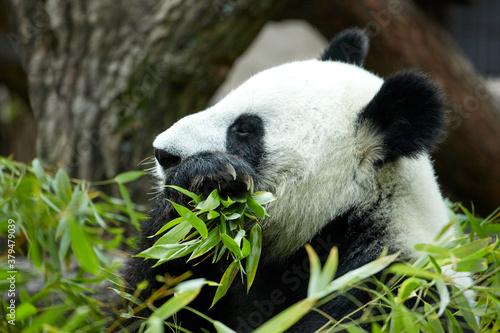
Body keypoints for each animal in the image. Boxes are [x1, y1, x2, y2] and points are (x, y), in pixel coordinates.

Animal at [119, 29, 456, 330]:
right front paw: (202, 187)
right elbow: (159, 304)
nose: (163, 152)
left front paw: (207, 177)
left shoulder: (386, 288)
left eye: (244, 129)